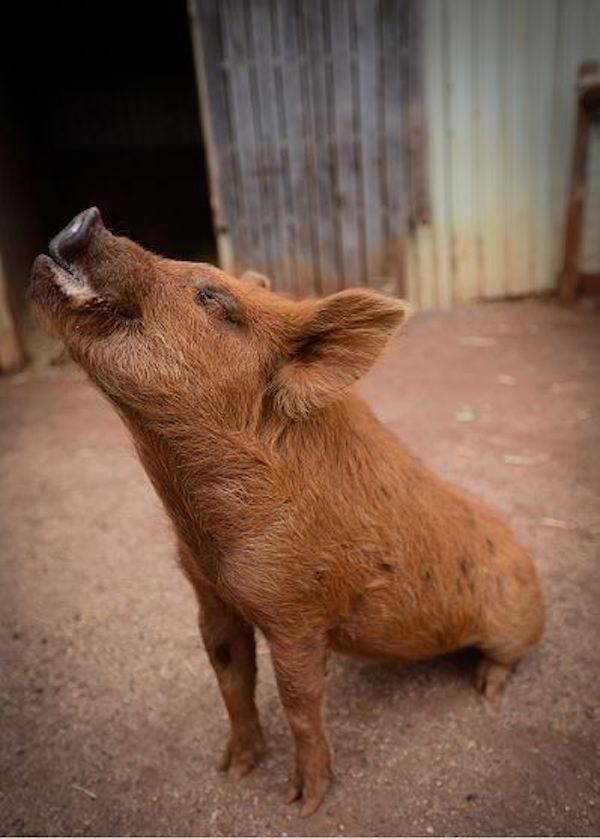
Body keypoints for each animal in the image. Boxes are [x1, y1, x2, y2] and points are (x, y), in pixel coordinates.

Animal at [30, 208, 544, 816]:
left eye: (211, 296)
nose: (85, 217)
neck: (203, 527)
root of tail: (527, 557)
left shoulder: (295, 610)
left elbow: (299, 702)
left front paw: (304, 802)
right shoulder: (208, 593)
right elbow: (230, 679)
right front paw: (232, 770)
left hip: (513, 622)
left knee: (509, 654)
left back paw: (486, 688)